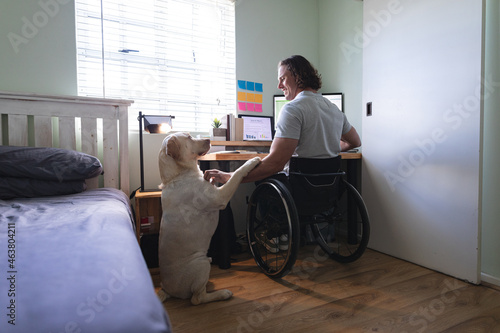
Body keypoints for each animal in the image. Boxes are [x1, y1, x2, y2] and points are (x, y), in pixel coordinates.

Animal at [156, 132, 260, 304]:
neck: (177, 176)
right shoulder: (220, 197)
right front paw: (252, 161)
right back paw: (223, 294)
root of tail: (166, 289)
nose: (208, 139)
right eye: (189, 137)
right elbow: (236, 173)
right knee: (197, 298)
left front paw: (212, 175)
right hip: (201, 262)